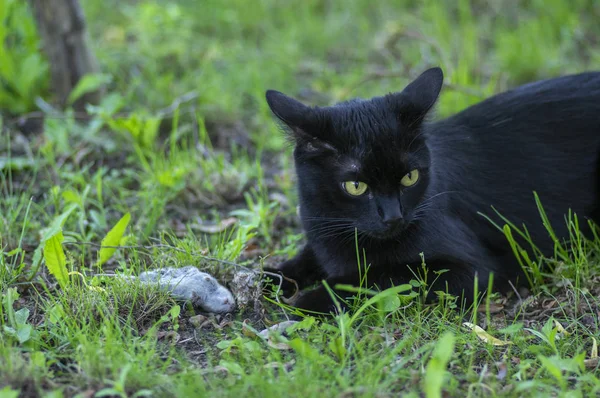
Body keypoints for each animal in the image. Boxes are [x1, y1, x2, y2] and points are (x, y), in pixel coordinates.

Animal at [264, 67, 600, 312]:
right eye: (356, 186)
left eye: (410, 178)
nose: (393, 217)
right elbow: (304, 259)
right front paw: (269, 279)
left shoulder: (471, 270)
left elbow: (380, 277)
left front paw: (311, 299)